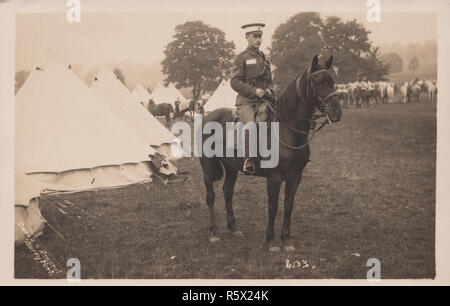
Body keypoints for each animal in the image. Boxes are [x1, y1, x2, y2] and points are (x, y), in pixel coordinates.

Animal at [199, 55, 342, 251]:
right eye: (318, 82)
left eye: (332, 80)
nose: (337, 112)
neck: (285, 129)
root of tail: (208, 116)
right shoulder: (274, 177)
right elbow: (273, 207)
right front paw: (271, 241)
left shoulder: (295, 176)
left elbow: (288, 207)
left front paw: (286, 240)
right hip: (208, 165)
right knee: (210, 196)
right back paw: (214, 232)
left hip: (231, 167)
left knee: (227, 192)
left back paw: (233, 228)